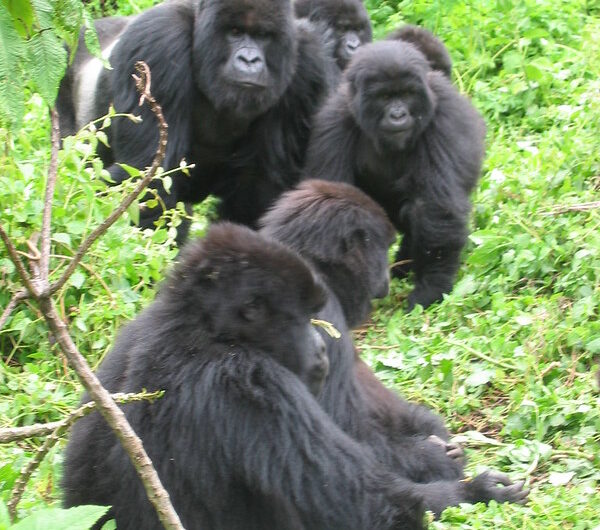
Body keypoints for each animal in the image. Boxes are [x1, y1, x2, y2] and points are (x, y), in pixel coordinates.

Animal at [56, 0, 332, 239]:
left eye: (263, 36)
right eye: (235, 32)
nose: (249, 60)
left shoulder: (309, 65)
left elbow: (262, 192)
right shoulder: (159, 41)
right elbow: (150, 182)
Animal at [62, 222, 426, 528]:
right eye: (306, 317)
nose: (322, 349)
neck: (204, 329)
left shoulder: (131, 335)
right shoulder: (253, 381)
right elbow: (378, 505)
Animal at [304, 41, 488, 310]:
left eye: (408, 94)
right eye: (385, 97)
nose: (398, 115)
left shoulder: (444, 118)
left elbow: (435, 208)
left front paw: (431, 288)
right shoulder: (334, 121)